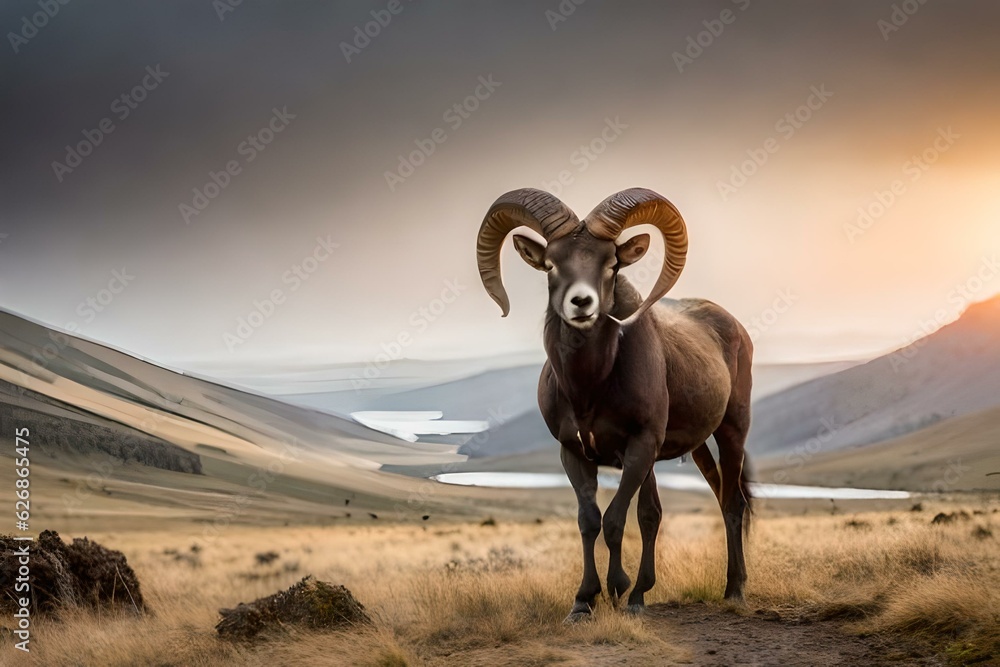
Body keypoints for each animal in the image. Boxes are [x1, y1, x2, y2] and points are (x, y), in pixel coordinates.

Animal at [475, 188, 753, 622]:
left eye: (611, 264)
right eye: (551, 265)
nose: (581, 303)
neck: (589, 389)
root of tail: (734, 327)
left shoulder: (639, 447)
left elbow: (616, 519)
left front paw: (617, 589)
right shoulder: (574, 453)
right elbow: (591, 521)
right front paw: (584, 601)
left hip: (731, 432)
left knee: (733, 503)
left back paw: (734, 590)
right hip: (694, 449)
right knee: (681, 507)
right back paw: (645, 593)